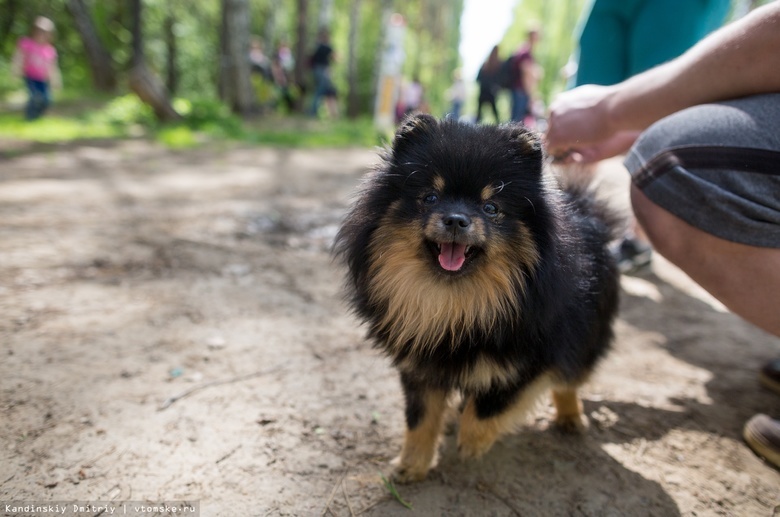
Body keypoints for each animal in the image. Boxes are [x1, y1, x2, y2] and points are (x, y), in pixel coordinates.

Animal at [336, 115, 620, 482]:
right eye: (430, 197)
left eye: (491, 207)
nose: (456, 219)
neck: (460, 304)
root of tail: (586, 210)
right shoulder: (420, 364)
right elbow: (419, 418)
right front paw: (412, 463)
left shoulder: (532, 360)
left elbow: (490, 406)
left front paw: (473, 441)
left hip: (587, 336)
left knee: (569, 379)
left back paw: (570, 416)